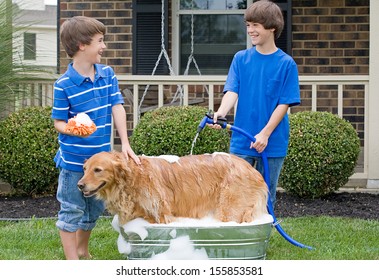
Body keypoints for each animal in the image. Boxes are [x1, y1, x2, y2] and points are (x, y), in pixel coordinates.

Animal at [77, 151, 268, 225]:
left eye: (98, 170)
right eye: (85, 169)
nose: (79, 185)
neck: (132, 179)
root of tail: (253, 170)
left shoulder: (162, 215)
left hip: (229, 209)